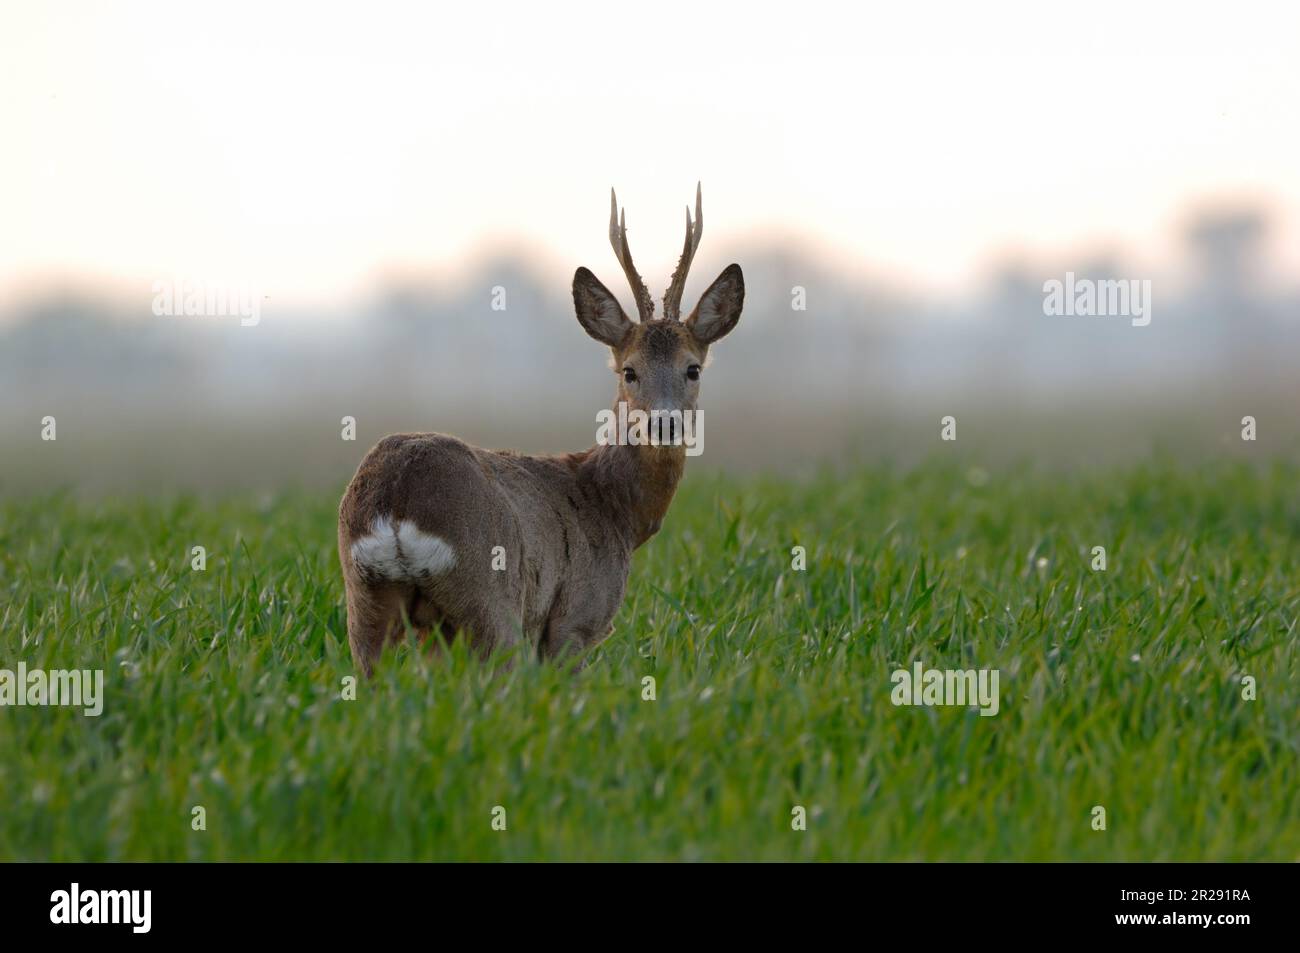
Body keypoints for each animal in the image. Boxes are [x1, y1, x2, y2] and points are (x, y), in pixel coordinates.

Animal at [335, 185, 743, 670]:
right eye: (629, 371)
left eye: (692, 368)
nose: (664, 423)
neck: (615, 510)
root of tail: (396, 502)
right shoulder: (576, 617)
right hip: (492, 601)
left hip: (367, 601)